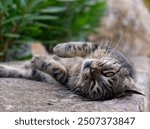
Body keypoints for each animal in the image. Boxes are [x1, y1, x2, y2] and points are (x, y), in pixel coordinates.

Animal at [0, 41, 144, 100]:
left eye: (93, 85)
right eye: (109, 73)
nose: (92, 68)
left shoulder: (67, 80)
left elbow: (59, 71)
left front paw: (39, 60)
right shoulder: (97, 47)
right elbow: (77, 46)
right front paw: (58, 48)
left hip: (31, 73)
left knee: (19, 70)